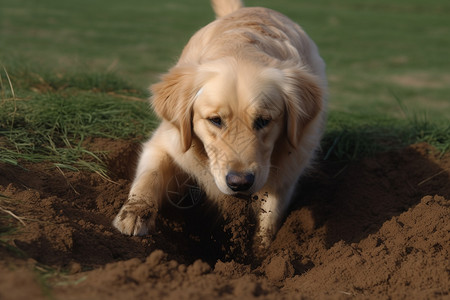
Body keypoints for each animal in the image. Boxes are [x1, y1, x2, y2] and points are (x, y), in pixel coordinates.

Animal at [113, 0, 326, 247]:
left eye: (264, 120)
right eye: (215, 120)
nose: (240, 182)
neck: (241, 48)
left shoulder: (288, 170)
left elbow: (270, 216)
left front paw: (262, 249)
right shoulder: (168, 140)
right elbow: (150, 176)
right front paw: (135, 214)